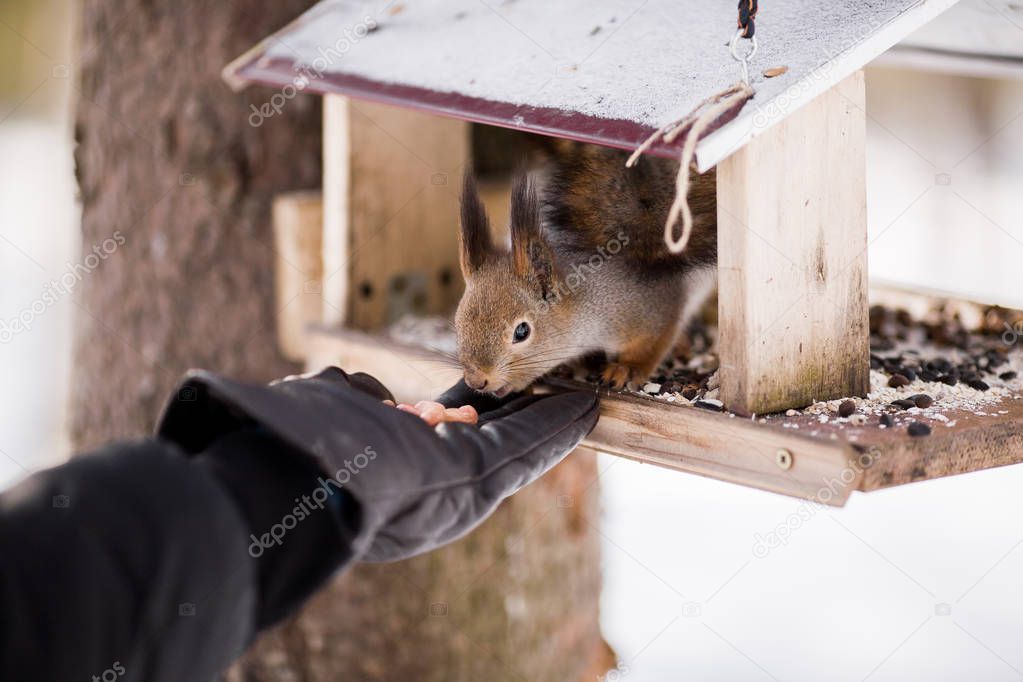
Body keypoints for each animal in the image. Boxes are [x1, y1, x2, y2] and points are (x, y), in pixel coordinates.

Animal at [456, 143, 720, 400]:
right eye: (457, 324)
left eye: (522, 331)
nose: (476, 381)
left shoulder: (653, 308)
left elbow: (652, 346)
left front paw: (626, 369)